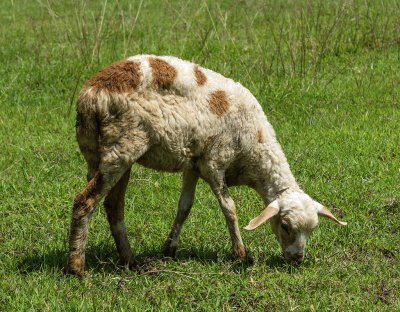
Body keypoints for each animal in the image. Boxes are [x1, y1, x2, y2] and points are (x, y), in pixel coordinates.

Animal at [67, 54, 346, 276]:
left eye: (313, 230)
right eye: (285, 226)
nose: (297, 259)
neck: (254, 145)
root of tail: (91, 94)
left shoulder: (193, 164)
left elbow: (184, 207)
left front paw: (169, 249)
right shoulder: (214, 162)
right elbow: (229, 208)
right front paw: (241, 254)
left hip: (99, 152)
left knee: (113, 206)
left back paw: (130, 261)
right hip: (122, 147)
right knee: (85, 201)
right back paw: (77, 268)